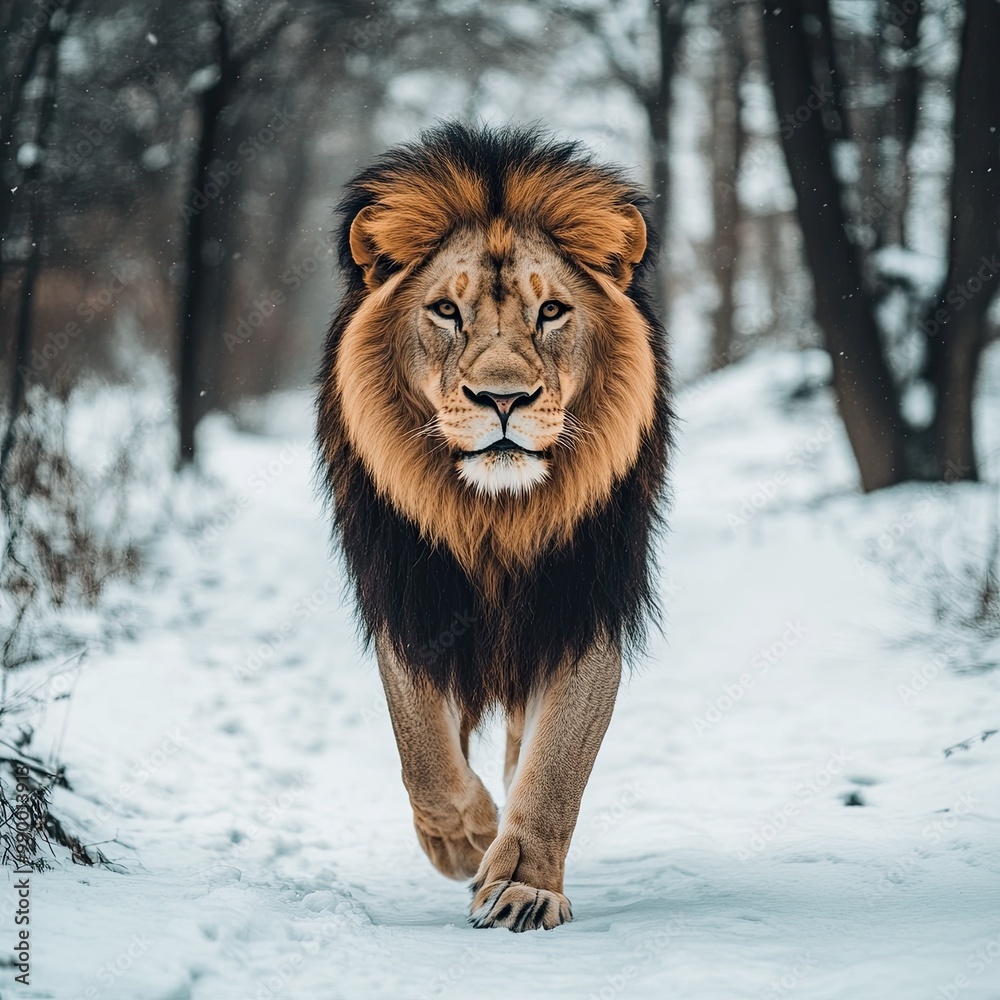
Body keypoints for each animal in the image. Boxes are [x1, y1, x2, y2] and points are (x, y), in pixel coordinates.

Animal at [316, 123, 670, 932]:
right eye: (447, 312)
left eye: (552, 312)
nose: (502, 399)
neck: (495, 519)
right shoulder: (410, 601)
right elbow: (422, 749)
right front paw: (466, 838)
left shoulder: (583, 606)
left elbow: (557, 765)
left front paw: (524, 882)